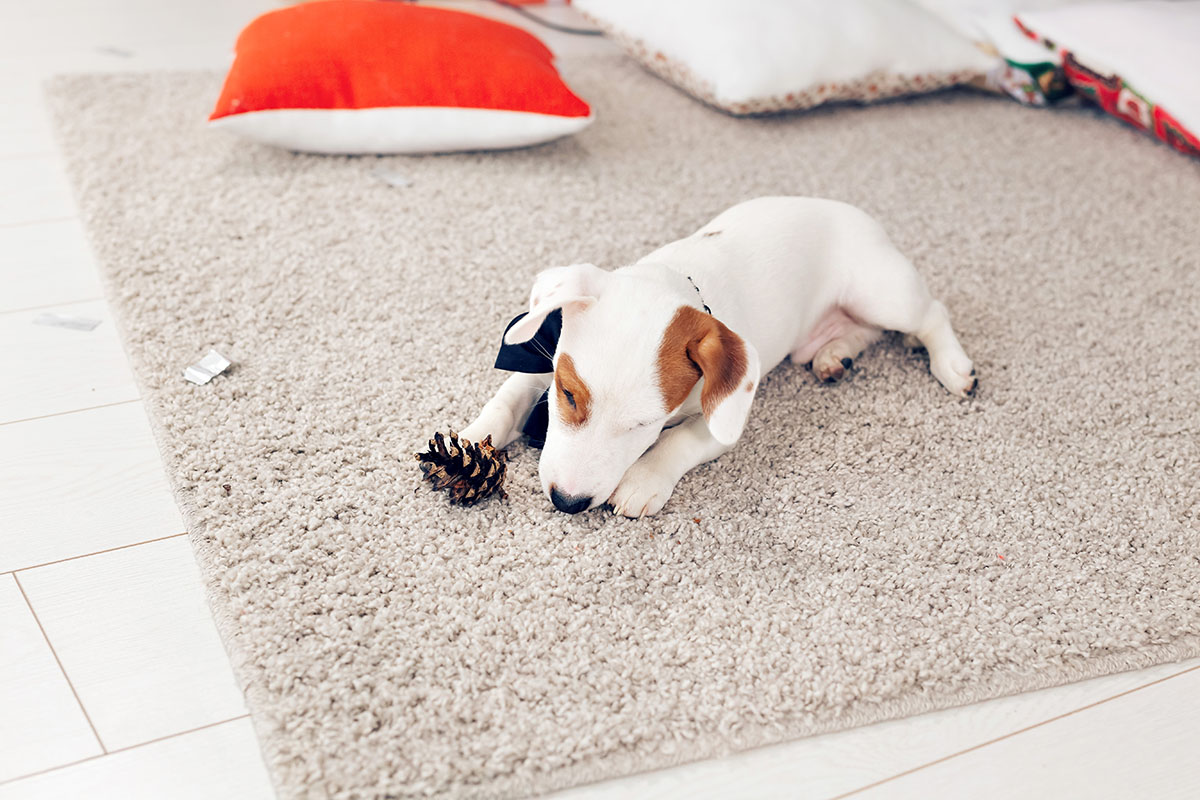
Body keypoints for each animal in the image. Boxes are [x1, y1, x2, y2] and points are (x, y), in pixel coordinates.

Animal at [458, 196, 974, 515]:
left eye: (644, 425)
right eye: (567, 394)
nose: (567, 502)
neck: (675, 279)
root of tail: (858, 214)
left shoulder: (722, 417)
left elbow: (679, 442)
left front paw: (644, 478)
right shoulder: (542, 358)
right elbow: (506, 401)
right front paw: (471, 443)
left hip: (881, 293)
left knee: (930, 314)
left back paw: (953, 366)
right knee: (865, 332)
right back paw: (836, 354)